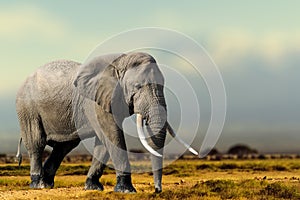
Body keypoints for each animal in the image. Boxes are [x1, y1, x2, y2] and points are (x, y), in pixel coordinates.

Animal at [15, 52, 197, 193]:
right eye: (138, 86)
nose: (157, 190)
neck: (120, 63)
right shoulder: (95, 101)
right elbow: (112, 135)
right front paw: (126, 190)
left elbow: (104, 142)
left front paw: (93, 188)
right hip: (28, 108)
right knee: (37, 142)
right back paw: (38, 185)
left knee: (64, 146)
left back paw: (47, 184)